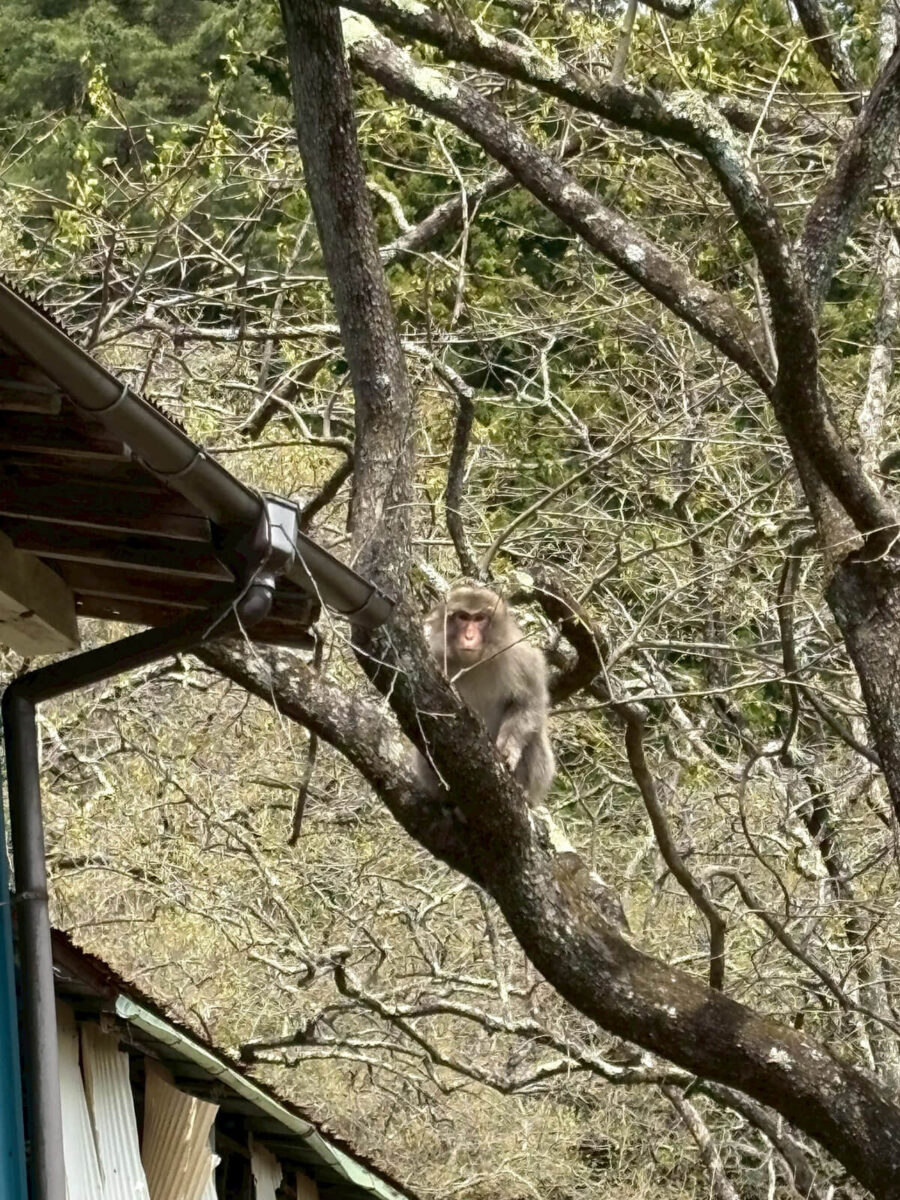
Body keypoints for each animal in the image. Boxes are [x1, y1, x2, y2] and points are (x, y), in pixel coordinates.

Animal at [416, 585, 555, 805]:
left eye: (480, 618)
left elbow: (528, 705)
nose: (469, 636)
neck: (475, 663)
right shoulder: (434, 655)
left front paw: (508, 751)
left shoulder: (523, 659)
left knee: (534, 736)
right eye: (463, 617)